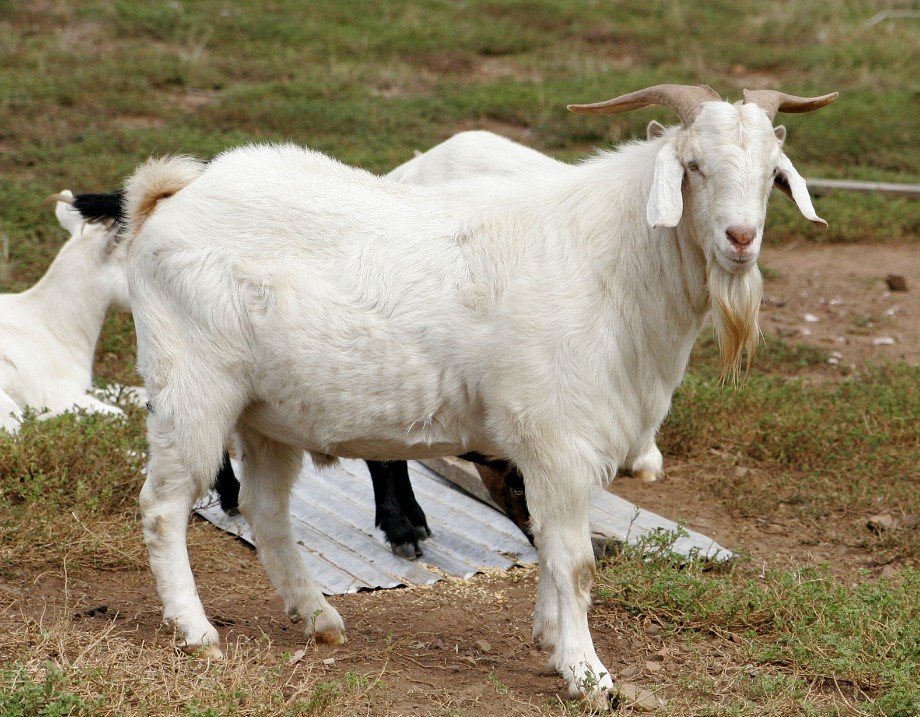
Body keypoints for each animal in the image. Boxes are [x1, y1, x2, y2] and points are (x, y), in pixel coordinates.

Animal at [118, 84, 835, 703]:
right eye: (693, 166)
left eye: (772, 174)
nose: (740, 240)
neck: (611, 263)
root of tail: (170, 197)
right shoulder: (558, 440)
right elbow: (575, 562)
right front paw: (589, 674)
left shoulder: (553, 453)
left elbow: (548, 546)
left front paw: (551, 640)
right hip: (193, 388)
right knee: (163, 506)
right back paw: (196, 631)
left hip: (267, 412)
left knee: (266, 510)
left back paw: (317, 617)